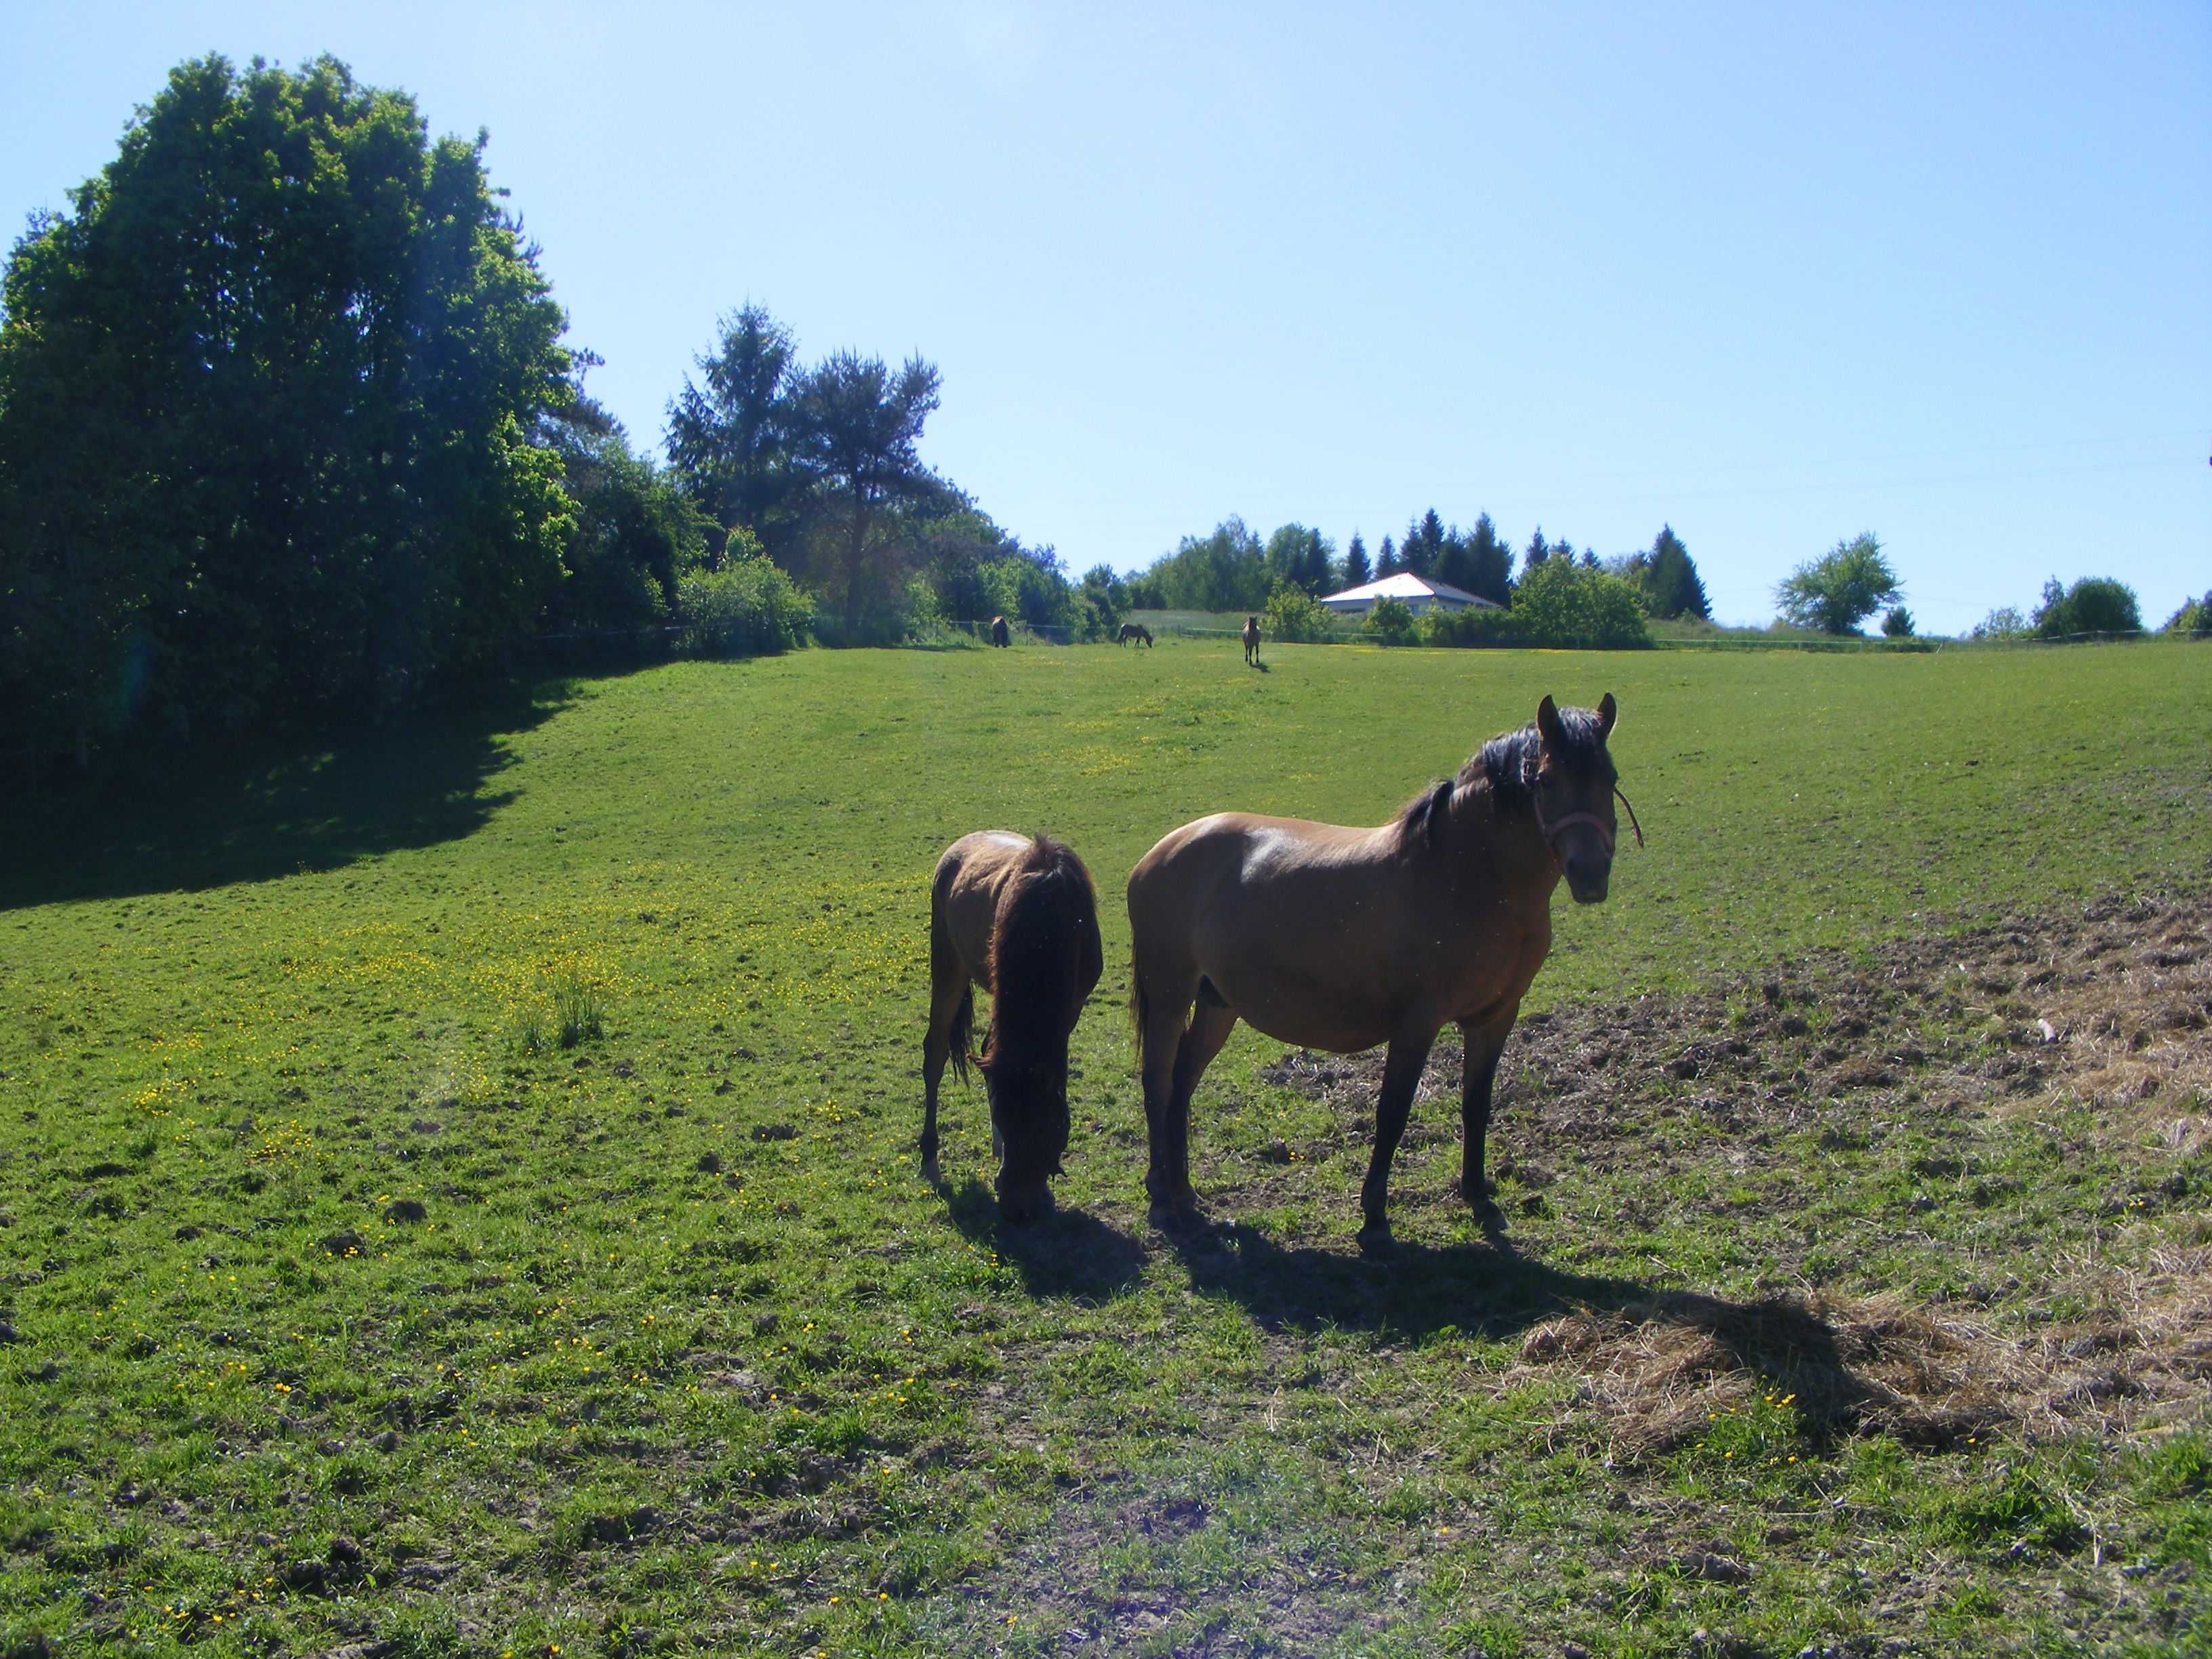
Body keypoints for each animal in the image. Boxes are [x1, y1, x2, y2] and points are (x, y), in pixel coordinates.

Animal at [920, 832, 1101, 1221]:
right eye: (1007, 1119)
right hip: (948, 965)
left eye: (1045, 1129)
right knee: (935, 1054)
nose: (1019, 1210)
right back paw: (929, 1156)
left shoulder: (1071, 1008)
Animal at [1132, 690, 1637, 1238]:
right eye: (1545, 780)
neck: (1463, 876)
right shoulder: (1417, 1022)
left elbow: (1476, 1105)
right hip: (1169, 995)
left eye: (1610, 777)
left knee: (1183, 1080)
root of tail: (1162, 850)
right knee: (1158, 1080)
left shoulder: (1495, 1017)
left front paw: (1477, 1194)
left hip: (1218, 1003)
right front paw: (1374, 1213)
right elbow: (1393, 1112)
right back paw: (1162, 1194)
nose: (1591, 874)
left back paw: (1183, 1189)